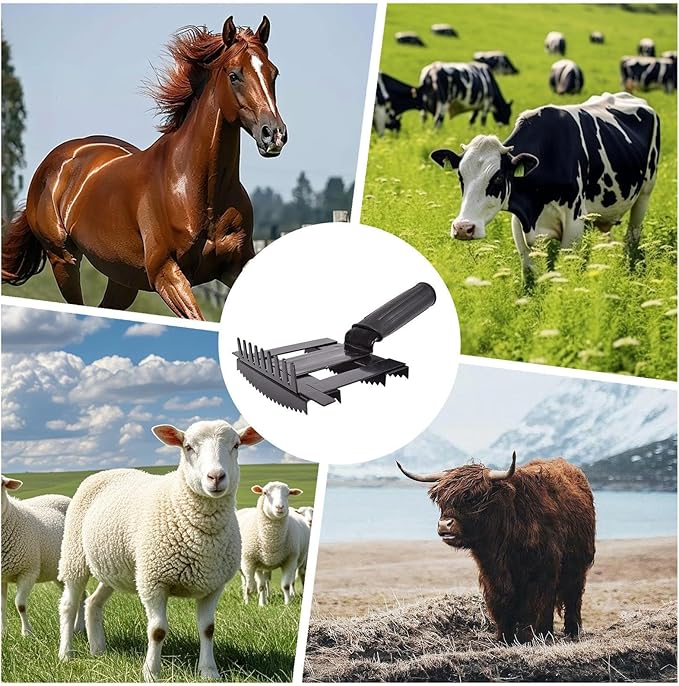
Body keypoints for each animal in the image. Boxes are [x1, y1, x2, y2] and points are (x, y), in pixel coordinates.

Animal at [1, 476, 84, 636]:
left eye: (1, 484)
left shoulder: (28, 571)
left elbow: (20, 605)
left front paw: (27, 633)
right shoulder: (2, 577)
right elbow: (2, 608)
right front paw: (2, 633)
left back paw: (79, 628)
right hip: (58, 573)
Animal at [2, 16, 286, 320]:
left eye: (273, 73)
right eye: (234, 75)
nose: (274, 134)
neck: (201, 192)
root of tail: (56, 161)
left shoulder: (236, 266)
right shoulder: (166, 274)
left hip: (122, 277)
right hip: (64, 260)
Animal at [57, 420, 263, 682]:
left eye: (236, 445)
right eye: (188, 447)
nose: (216, 476)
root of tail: (106, 471)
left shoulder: (213, 585)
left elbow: (207, 629)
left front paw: (209, 672)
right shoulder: (153, 581)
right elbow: (157, 631)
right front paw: (151, 673)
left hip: (116, 568)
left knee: (92, 602)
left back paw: (98, 650)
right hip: (74, 556)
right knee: (69, 605)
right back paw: (66, 654)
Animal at [397, 453, 596, 643]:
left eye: (472, 498)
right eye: (441, 500)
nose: (445, 525)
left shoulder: (541, 570)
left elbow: (533, 605)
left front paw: (526, 638)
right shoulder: (492, 573)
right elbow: (502, 601)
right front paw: (504, 637)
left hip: (576, 566)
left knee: (571, 596)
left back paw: (570, 632)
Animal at [430, 92, 660, 273]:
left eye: (498, 177)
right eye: (461, 177)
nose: (462, 228)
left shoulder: (574, 223)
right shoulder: (520, 223)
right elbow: (530, 274)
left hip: (645, 194)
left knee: (632, 237)